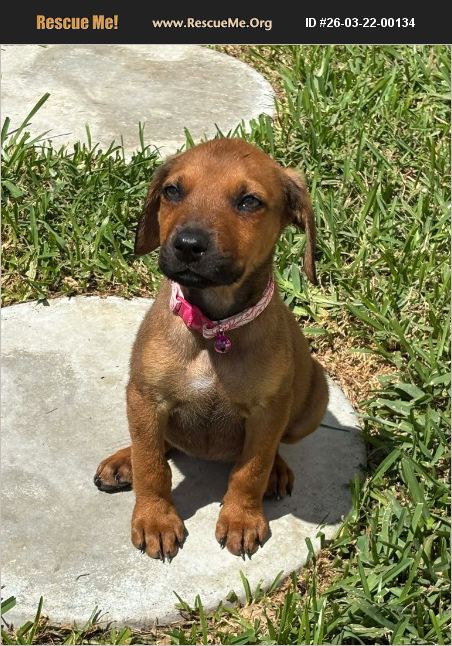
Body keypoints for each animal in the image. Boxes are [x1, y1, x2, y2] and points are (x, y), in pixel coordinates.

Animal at [94, 138, 328, 560]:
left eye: (249, 201)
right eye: (172, 191)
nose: (188, 246)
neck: (212, 328)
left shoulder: (269, 409)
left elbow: (251, 468)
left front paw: (241, 517)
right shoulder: (145, 396)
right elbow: (151, 463)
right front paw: (155, 519)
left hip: (315, 395)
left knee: (274, 447)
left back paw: (277, 471)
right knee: (155, 444)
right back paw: (124, 461)